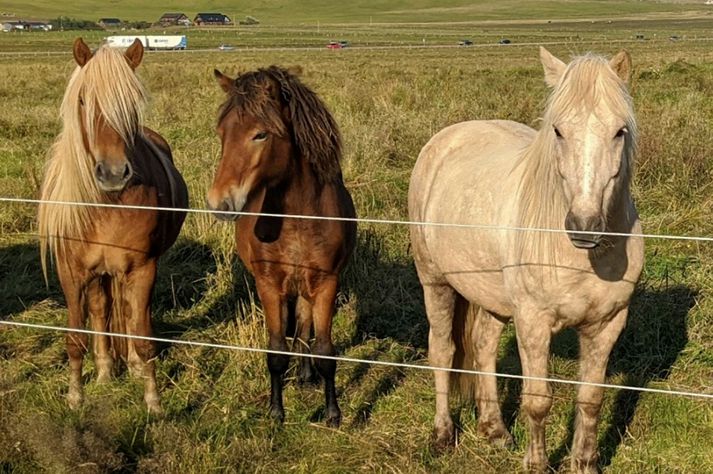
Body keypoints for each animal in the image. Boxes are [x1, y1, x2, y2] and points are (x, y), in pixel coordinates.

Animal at [37, 39, 188, 412]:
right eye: (82, 100)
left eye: (132, 105)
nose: (113, 173)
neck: (105, 204)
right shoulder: (72, 272)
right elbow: (76, 337)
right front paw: (75, 396)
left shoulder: (142, 268)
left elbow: (143, 333)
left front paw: (153, 400)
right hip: (97, 274)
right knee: (100, 309)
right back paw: (105, 370)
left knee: (127, 313)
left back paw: (130, 365)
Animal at [206, 65, 356, 426]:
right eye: (222, 132)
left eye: (260, 135)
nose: (219, 202)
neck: (297, 219)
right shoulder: (269, 285)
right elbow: (275, 350)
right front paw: (276, 411)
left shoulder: (326, 283)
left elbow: (325, 350)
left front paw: (332, 413)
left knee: (303, 324)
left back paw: (305, 373)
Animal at [406, 47, 644, 470]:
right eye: (558, 131)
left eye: (620, 131)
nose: (584, 226)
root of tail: (446, 138)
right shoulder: (533, 323)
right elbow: (537, 401)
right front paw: (536, 463)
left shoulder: (606, 325)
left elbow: (591, 400)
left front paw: (584, 464)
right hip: (435, 281)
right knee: (443, 351)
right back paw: (443, 434)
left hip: (492, 298)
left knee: (483, 347)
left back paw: (495, 430)